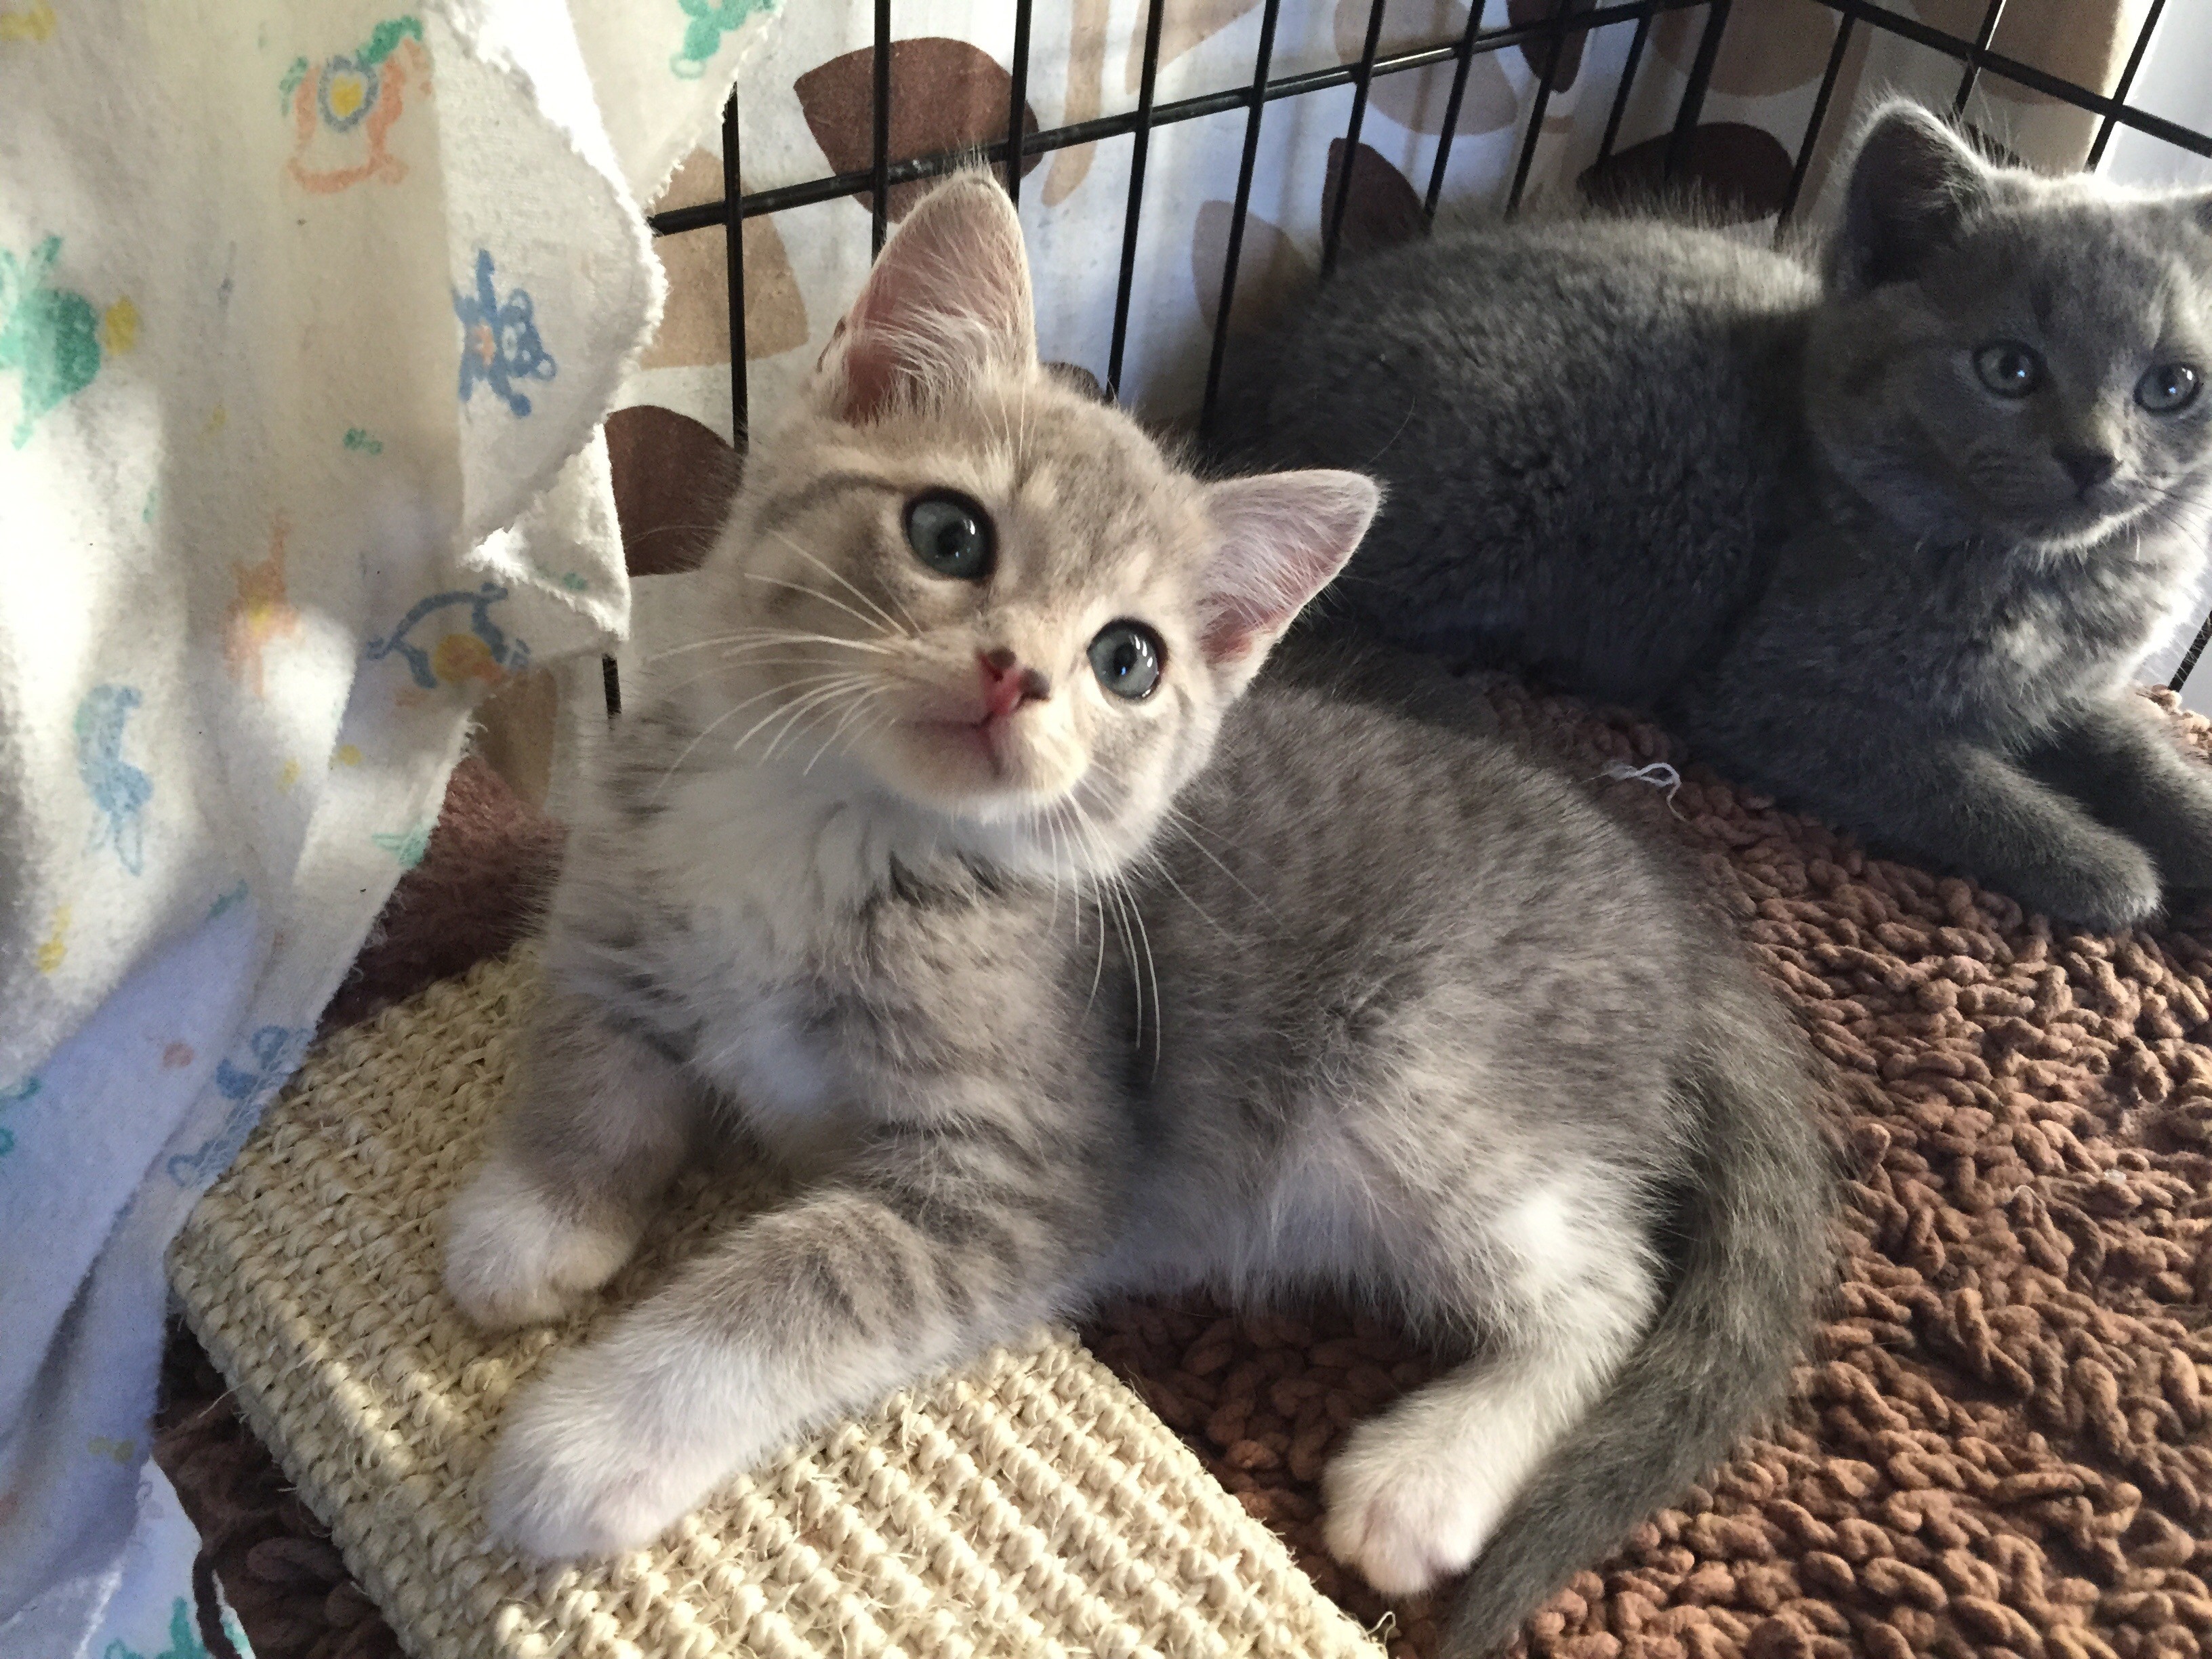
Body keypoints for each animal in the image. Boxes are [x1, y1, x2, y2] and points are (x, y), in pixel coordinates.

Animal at [436, 176, 1831, 1654]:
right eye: (948, 533)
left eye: (1127, 660)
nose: (1018, 675)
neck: (833, 822)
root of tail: (1682, 924)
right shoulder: (619, 906)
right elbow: (589, 1059)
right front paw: (534, 1218)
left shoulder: (1029, 1174)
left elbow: (797, 1281)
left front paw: (588, 1439)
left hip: (1424, 1072)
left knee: (1605, 1285)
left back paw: (1432, 1476)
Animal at [1221, 100, 2212, 937]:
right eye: (2009, 368)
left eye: (2172, 386)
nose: (2096, 460)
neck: (2036, 580)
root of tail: (1287, 343)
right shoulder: (1771, 694)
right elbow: (1949, 779)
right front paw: (2107, 869)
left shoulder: (2068, 690)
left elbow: (2138, 751)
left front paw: (2189, 823)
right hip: (1485, 493)